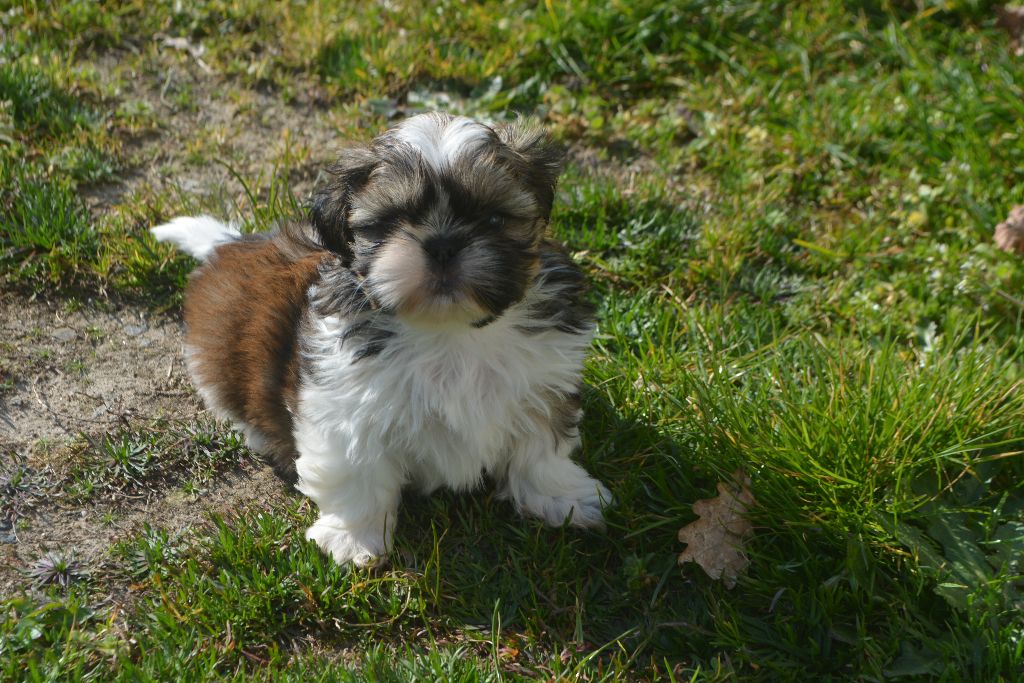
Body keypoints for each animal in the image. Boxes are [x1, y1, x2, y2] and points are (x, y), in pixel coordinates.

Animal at [153, 113, 606, 565]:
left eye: (494, 219)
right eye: (392, 221)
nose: (443, 244)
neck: (448, 331)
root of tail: (233, 246)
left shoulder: (542, 380)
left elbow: (540, 448)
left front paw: (562, 498)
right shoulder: (345, 407)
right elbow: (356, 472)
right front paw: (352, 538)